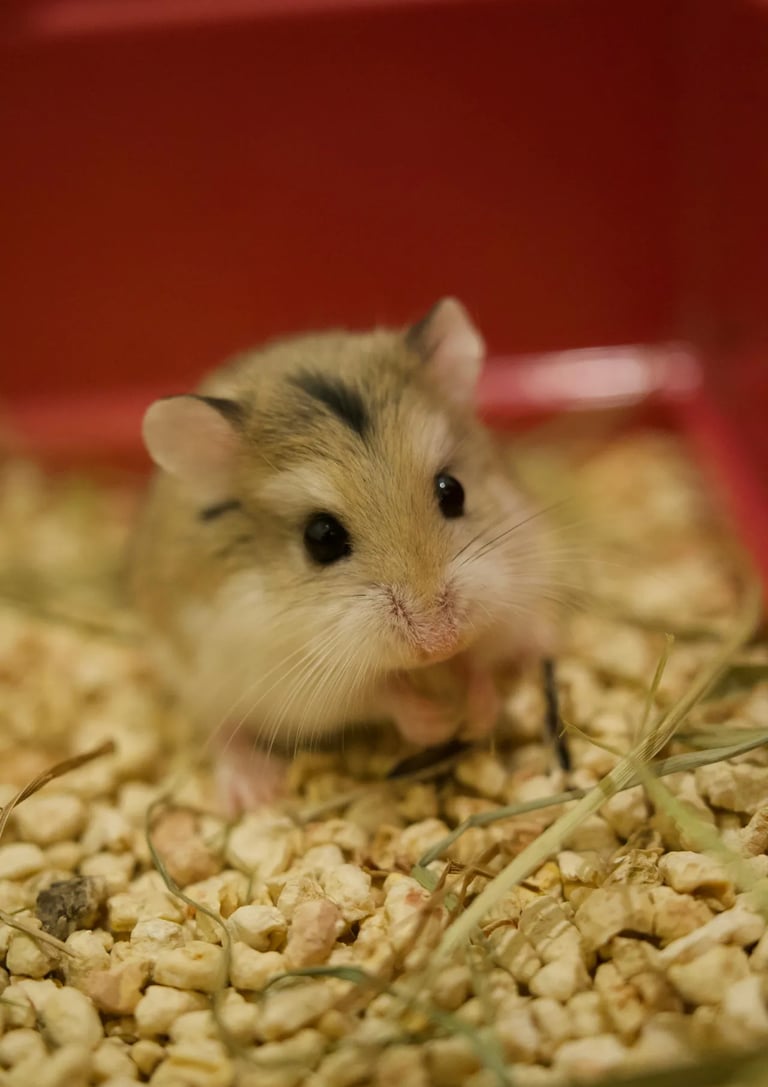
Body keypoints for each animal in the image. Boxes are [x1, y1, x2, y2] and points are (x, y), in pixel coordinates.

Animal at [131, 298, 559, 812]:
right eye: (321, 538)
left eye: (452, 490)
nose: (439, 643)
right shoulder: (301, 678)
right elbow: (379, 693)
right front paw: (437, 723)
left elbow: (478, 665)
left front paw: (477, 715)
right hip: (205, 683)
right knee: (221, 731)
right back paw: (256, 792)